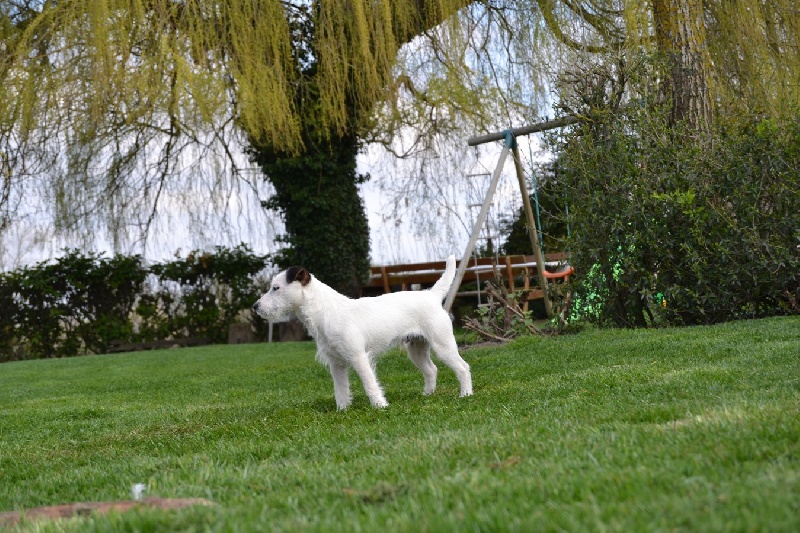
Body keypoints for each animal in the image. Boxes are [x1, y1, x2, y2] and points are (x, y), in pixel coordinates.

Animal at [253, 256, 472, 410]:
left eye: (276, 288)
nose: (255, 306)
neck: (326, 312)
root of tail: (431, 295)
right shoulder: (336, 364)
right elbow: (341, 389)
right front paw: (342, 410)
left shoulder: (358, 358)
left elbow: (369, 384)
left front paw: (380, 406)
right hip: (416, 349)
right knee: (431, 370)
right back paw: (428, 394)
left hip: (443, 345)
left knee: (463, 367)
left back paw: (466, 394)